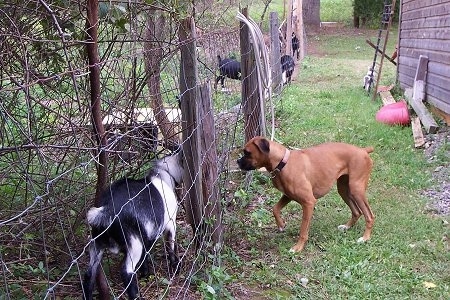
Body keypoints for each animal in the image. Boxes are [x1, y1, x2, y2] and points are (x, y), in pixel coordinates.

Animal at [82, 152, 183, 300]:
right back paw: (135, 295)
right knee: (126, 271)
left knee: (89, 274)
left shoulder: (147, 235)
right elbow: (171, 246)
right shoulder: (170, 224)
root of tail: (106, 210)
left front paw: (145, 274)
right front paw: (176, 267)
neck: (162, 176)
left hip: (96, 244)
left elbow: (146, 255)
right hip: (134, 244)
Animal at [237, 137, 374, 252]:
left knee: (369, 215)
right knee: (357, 212)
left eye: (247, 152)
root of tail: (362, 150)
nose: (237, 161)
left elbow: (303, 229)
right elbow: (275, 208)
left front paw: (298, 248)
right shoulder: (287, 196)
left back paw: (365, 238)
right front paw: (281, 225)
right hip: (344, 190)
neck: (283, 162)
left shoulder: (308, 202)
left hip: (356, 190)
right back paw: (347, 227)